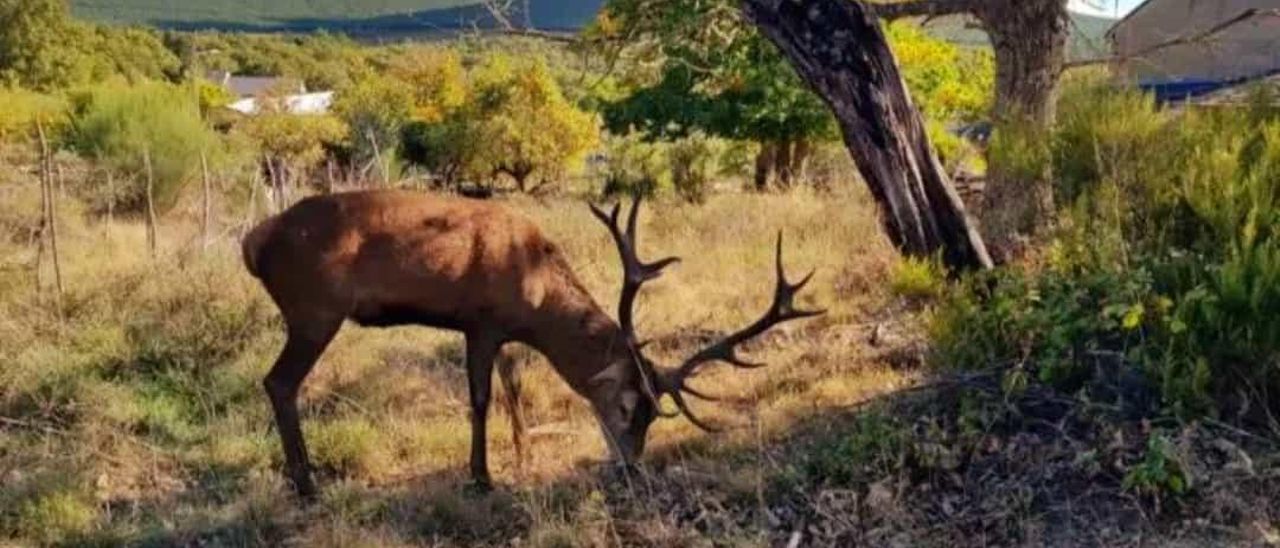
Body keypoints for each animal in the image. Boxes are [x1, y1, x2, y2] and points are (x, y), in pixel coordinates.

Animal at [240, 190, 819, 499]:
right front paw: (482, 477)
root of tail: (252, 242)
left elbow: (513, 388)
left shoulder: (506, 336)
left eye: (654, 416)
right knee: (278, 382)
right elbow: (480, 399)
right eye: (627, 405)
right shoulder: (480, 322)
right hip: (314, 310)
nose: (631, 467)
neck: (535, 293)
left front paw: (521, 455)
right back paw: (306, 484)